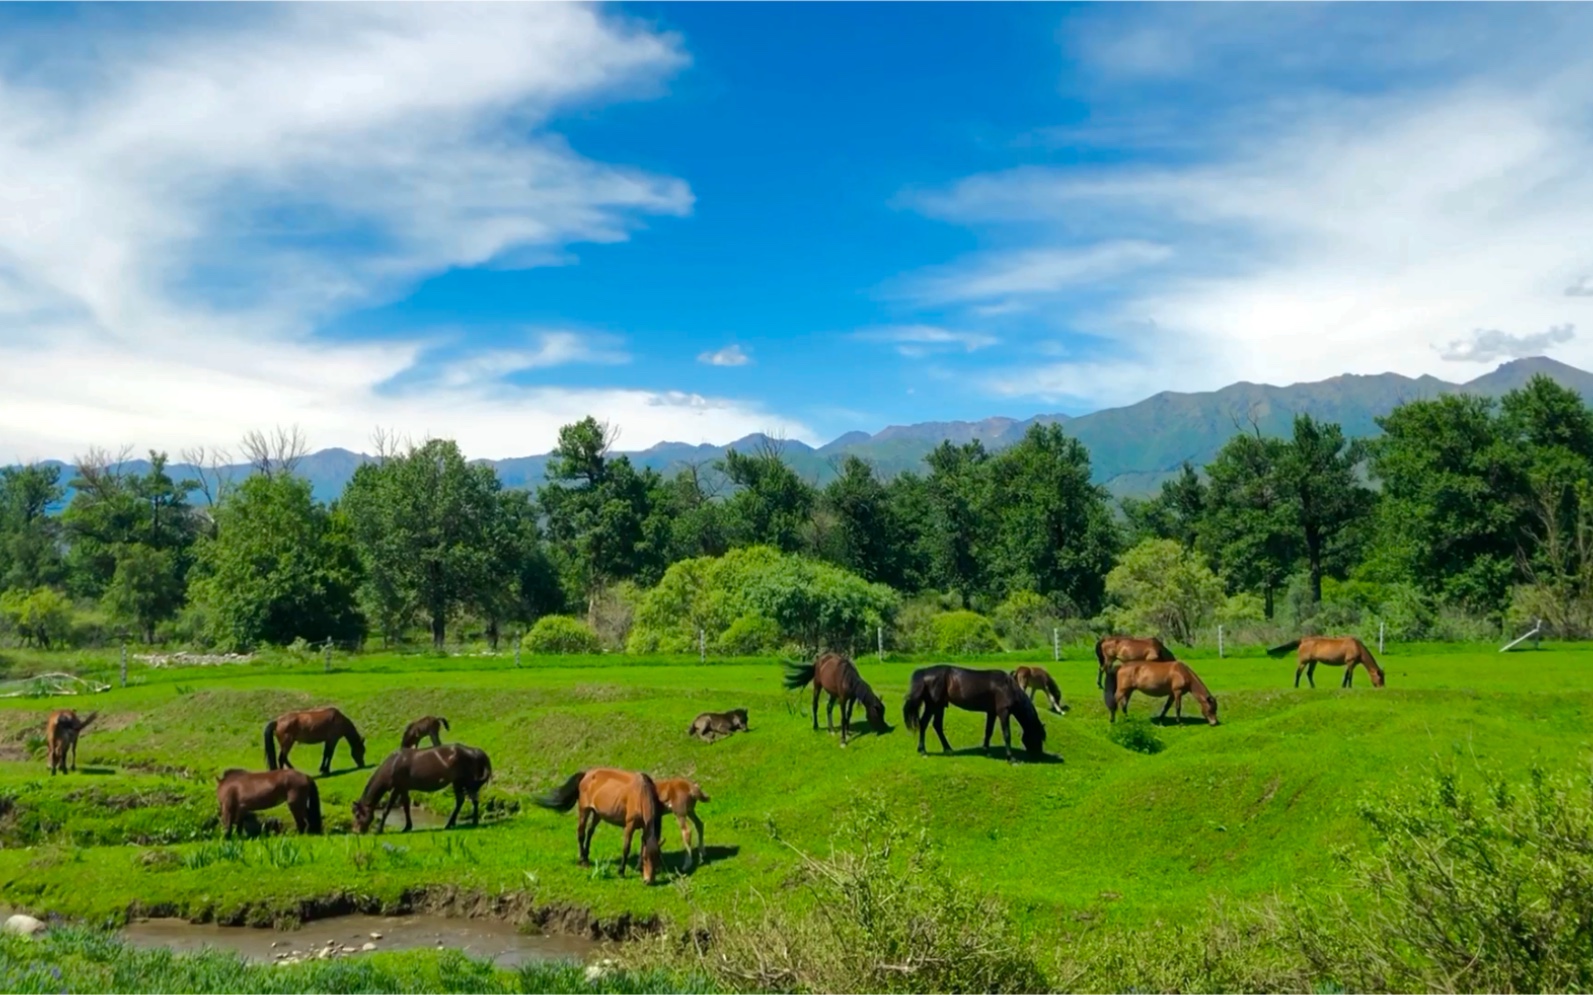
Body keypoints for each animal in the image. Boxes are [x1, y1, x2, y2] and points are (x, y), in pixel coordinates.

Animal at [353, 741, 490, 834]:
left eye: (358, 815)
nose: (356, 831)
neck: (393, 765)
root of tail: (475, 751)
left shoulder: (397, 788)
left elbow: (387, 809)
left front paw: (379, 830)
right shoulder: (404, 788)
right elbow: (406, 806)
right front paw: (407, 826)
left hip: (465, 782)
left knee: (473, 799)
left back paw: (473, 822)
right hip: (458, 782)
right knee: (462, 801)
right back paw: (451, 824)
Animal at [532, 767, 662, 885]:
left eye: (657, 860)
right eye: (646, 859)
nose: (649, 881)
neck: (640, 793)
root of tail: (586, 774)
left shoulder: (644, 827)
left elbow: (643, 846)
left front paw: (638, 867)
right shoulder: (630, 825)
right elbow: (626, 848)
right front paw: (621, 871)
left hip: (597, 813)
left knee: (590, 832)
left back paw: (586, 856)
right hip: (584, 809)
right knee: (581, 833)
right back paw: (582, 861)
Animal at [904, 662, 1051, 764]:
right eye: (1038, 736)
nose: (1039, 755)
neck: (1008, 687)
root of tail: (925, 673)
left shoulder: (992, 712)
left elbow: (988, 731)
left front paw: (986, 751)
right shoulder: (1003, 712)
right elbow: (1006, 734)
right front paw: (1011, 759)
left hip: (939, 706)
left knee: (937, 725)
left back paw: (948, 749)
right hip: (933, 705)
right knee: (924, 723)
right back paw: (923, 751)